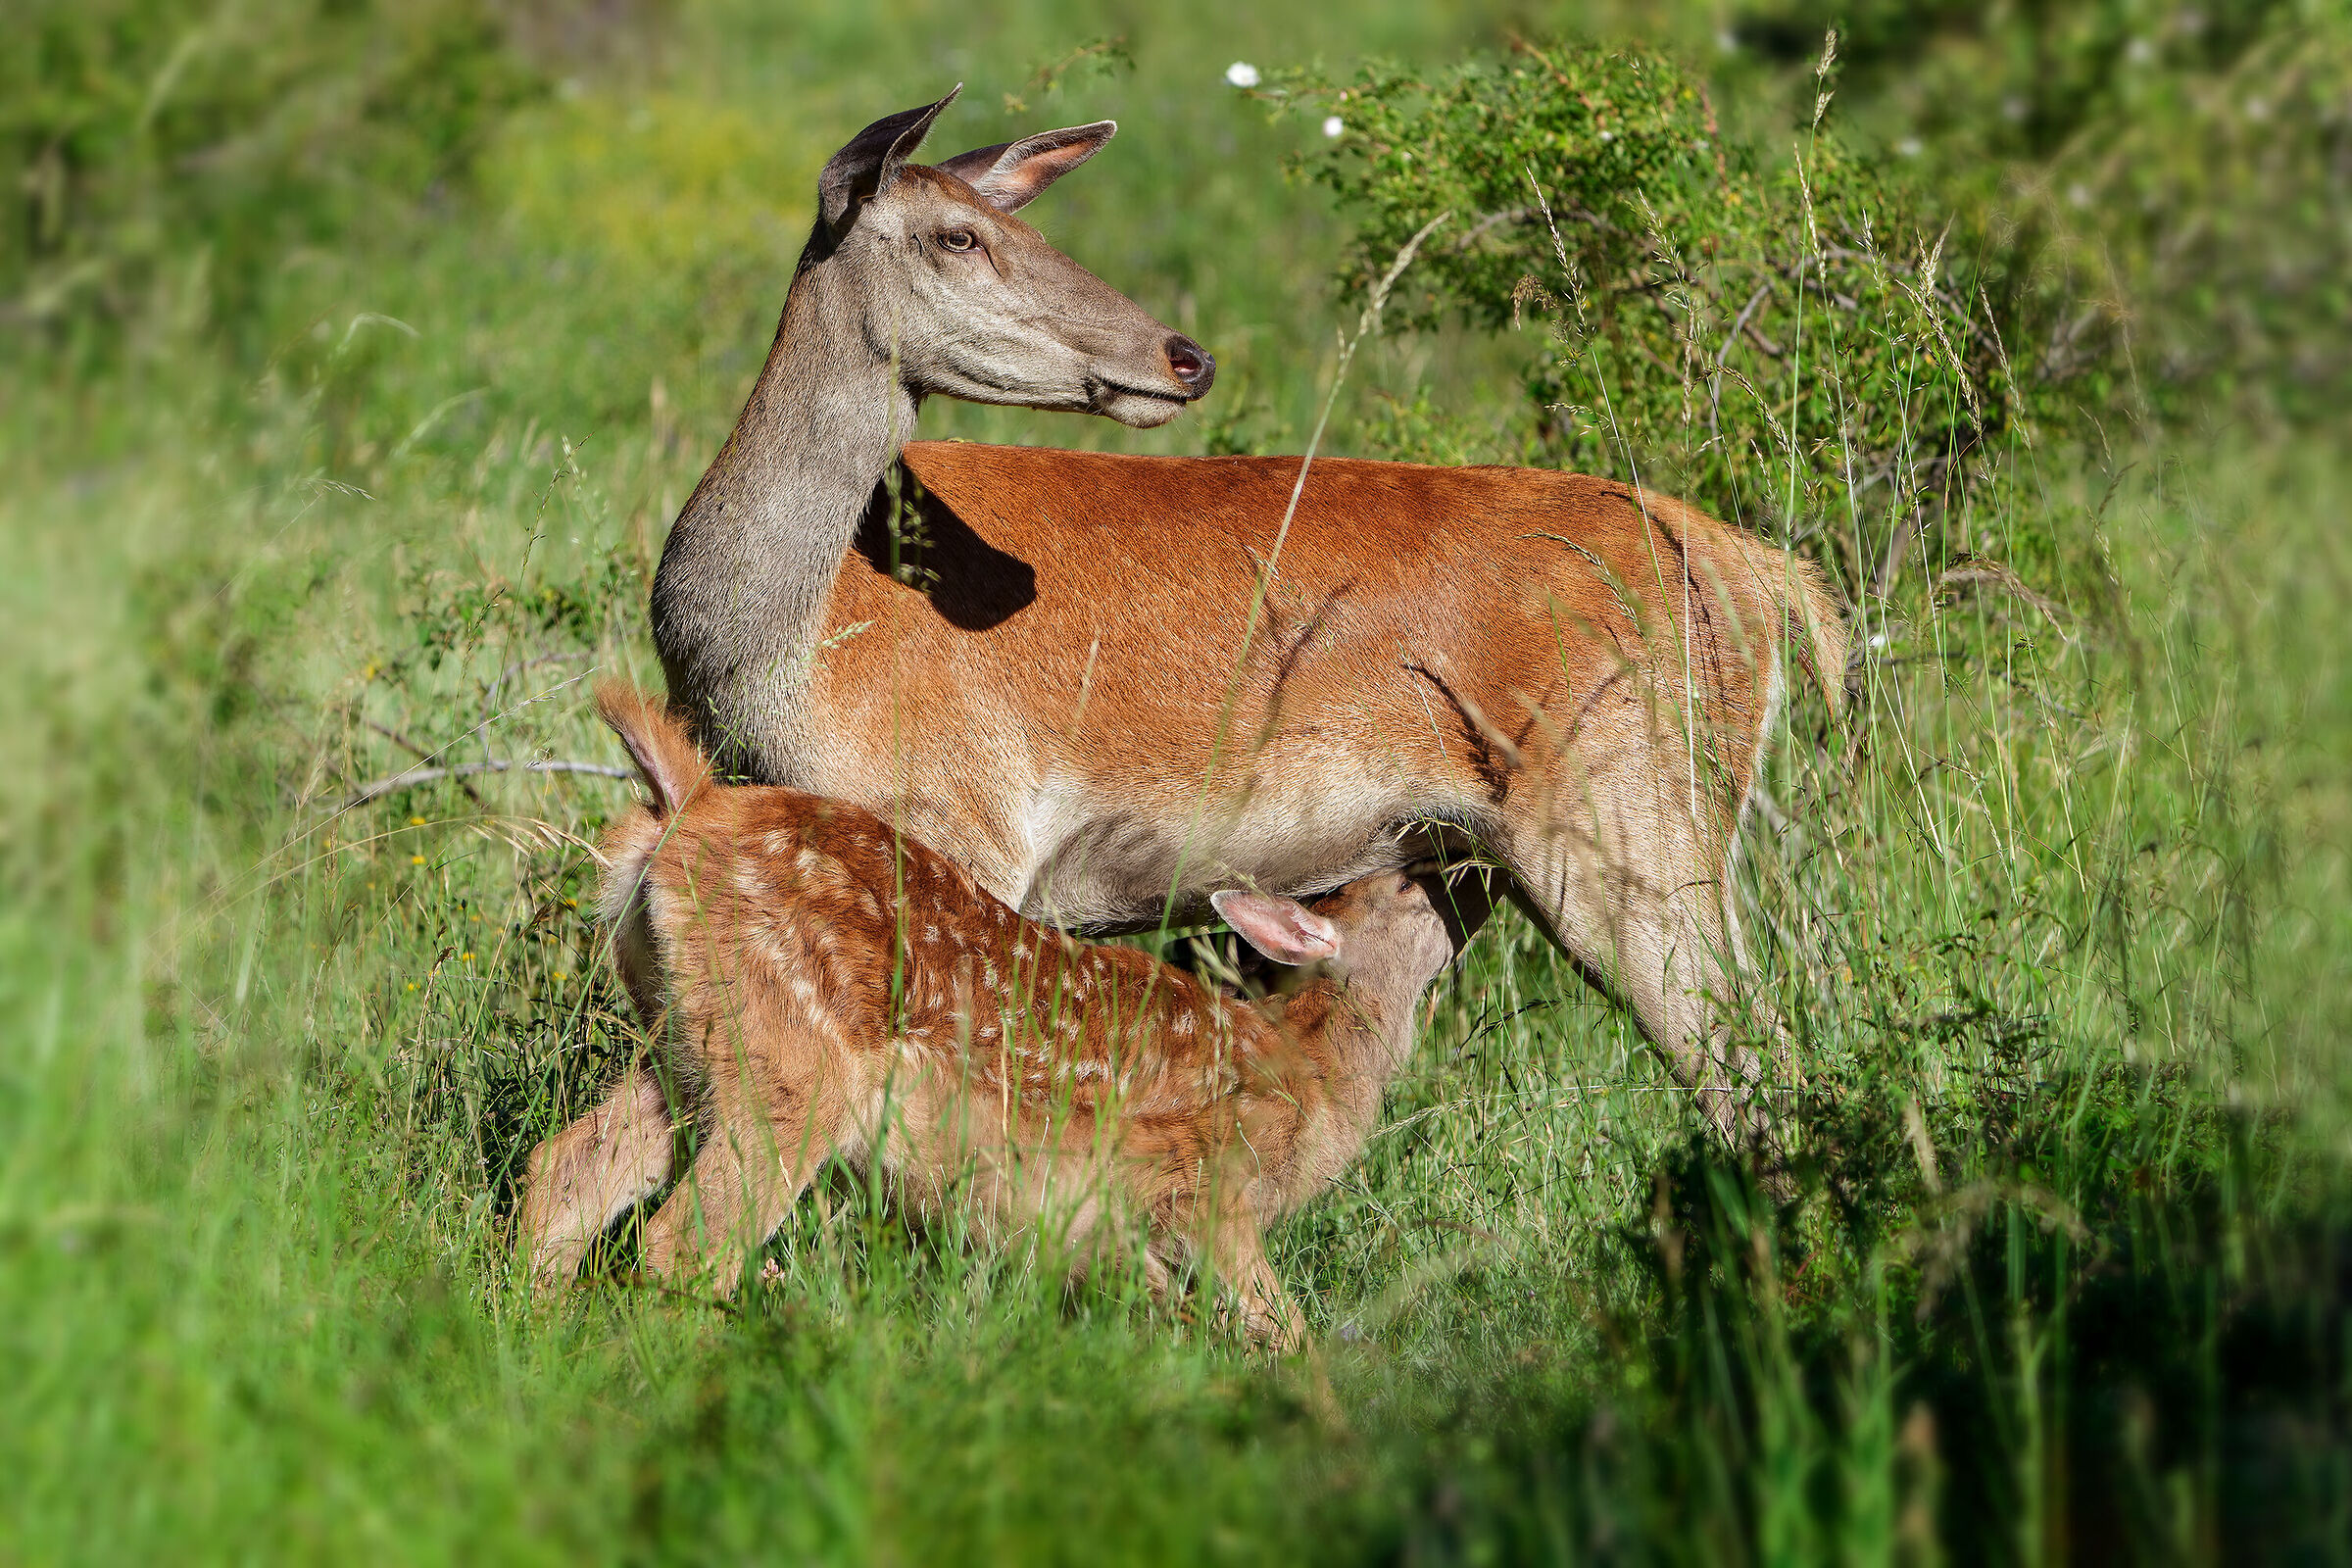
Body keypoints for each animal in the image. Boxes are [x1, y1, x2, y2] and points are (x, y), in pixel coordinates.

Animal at [515, 684, 1496, 1349]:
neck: (1308, 1068)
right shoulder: (1199, 1186)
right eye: (1406, 885)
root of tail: (690, 808)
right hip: (793, 1062)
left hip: (683, 1043)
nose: (1473, 866)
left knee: (567, 1168)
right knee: (684, 1242)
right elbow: (1275, 1325)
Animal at [647, 88, 1847, 1150]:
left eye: (1015, 225)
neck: (782, 655)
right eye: (957, 234)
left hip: (1635, 816)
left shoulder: (962, 821)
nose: (1186, 355)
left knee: (1755, 1061)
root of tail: (1754, 570)